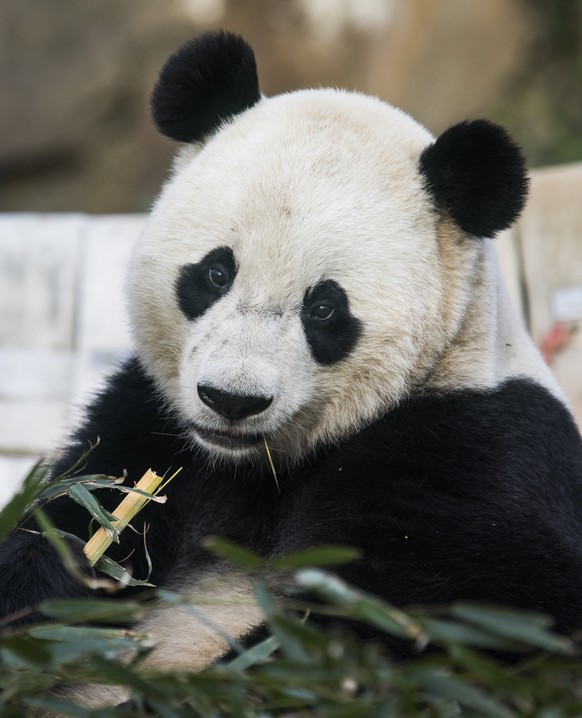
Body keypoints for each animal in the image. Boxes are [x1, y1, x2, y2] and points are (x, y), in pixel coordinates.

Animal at [1, 29, 582, 708]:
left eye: (325, 307)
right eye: (215, 273)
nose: (231, 399)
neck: (260, 463)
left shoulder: (475, 448)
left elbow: (456, 619)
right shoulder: (147, 423)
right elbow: (81, 504)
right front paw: (63, 571)